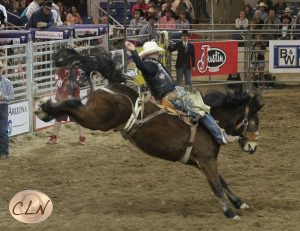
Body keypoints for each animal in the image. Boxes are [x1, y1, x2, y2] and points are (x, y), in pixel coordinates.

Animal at [35, 47, 264, 220]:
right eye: (254, 122)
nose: (253, 147)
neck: (210, 123)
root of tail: (113, 86)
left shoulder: (200, 162)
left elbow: (222, 181)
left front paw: (239, 202)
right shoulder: (207, 159)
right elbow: (216, 185)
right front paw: (230, 212)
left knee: (71, 109)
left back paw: (45, 110)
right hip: (97, 118)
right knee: (73, 106)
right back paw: (43, 107)